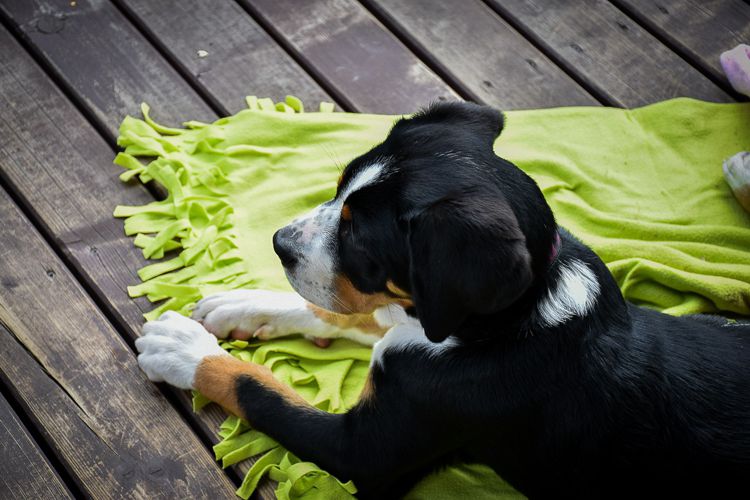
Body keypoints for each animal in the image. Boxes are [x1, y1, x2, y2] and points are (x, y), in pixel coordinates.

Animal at [137, 101, 750, 496]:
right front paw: (238, 305)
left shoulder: (362, 450)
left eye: (360, 237)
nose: (279, 244)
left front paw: (183, 349)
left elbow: (259, 388)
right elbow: (341, 311)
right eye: (338, 191)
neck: (512, 319)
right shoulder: (420, 316)